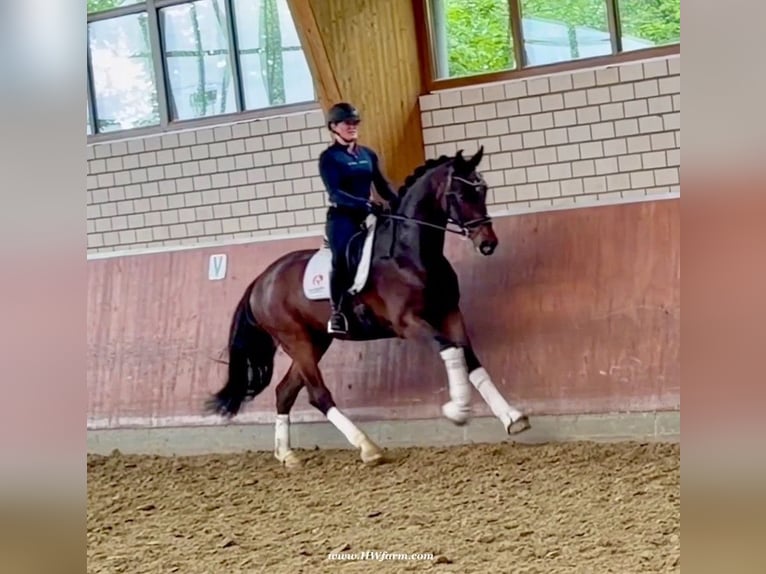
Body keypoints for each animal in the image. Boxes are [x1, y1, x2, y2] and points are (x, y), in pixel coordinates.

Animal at [204, 145, 531, 467]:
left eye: (483, 190)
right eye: (461, 195)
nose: (487, 243)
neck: (409, 254)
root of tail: (262, 279)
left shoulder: (449, 313)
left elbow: (470, 359)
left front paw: (512, 417)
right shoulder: (408, 323)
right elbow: (449, 349)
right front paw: (457, 409)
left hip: (316, 340)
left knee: (285, 392)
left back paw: (287, 454)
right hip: (296, 340)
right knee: (318, 395)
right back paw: (368, 447)